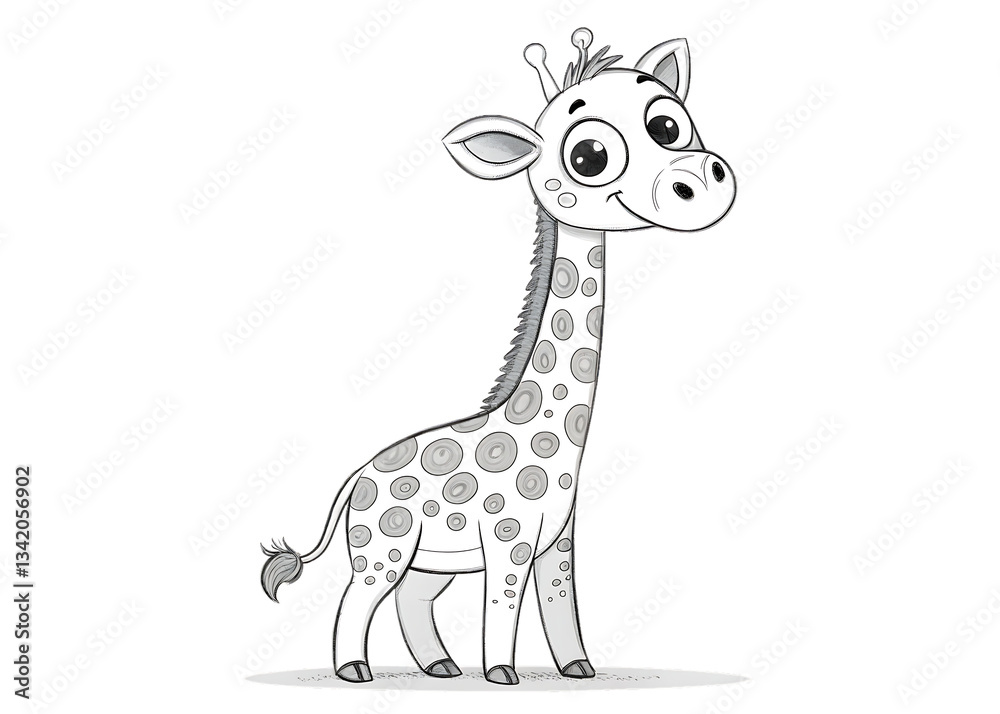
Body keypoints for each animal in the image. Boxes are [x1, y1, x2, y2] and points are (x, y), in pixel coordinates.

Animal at [260, 27, 736, 686]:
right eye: (588, 156)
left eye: (667, 123)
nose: (701, 182)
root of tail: (355, 476)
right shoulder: (507, 537)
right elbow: (504, 605)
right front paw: (502, 675)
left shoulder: (558, 540)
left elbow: (561, 602)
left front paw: (578, 669)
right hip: (383, 544)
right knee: (358, 595)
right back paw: (355, 670)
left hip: (430, 558)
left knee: (411, 599)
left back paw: (440, 667)